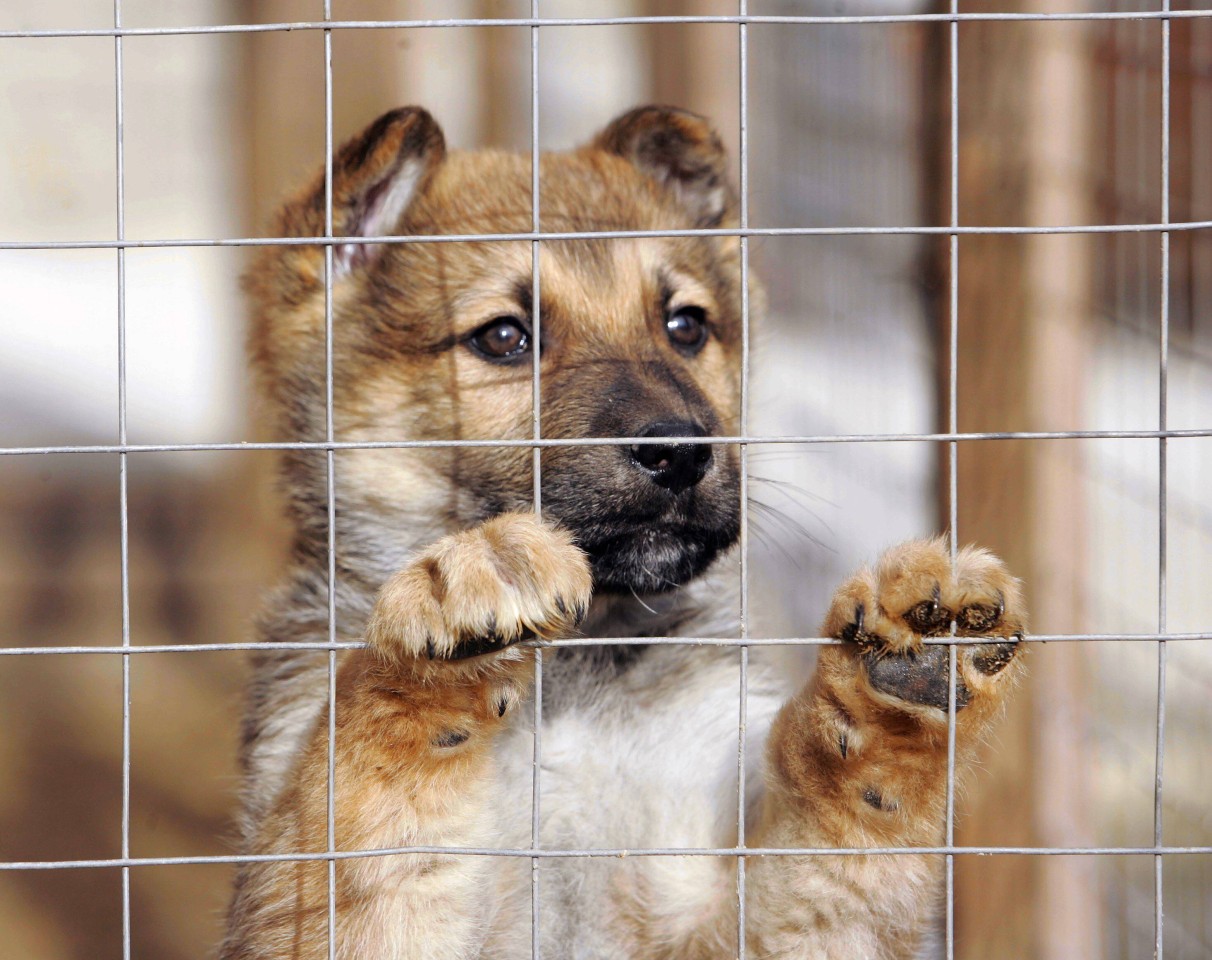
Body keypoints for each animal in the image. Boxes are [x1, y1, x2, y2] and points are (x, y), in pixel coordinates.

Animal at [223, 104, 1027, 960]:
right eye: (503, 337)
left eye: (685, 326)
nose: (680, 452)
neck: (581, 672)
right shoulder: (360, 905)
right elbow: (365, 773)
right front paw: (453, 610)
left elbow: (838, 836)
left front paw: (897, 698)